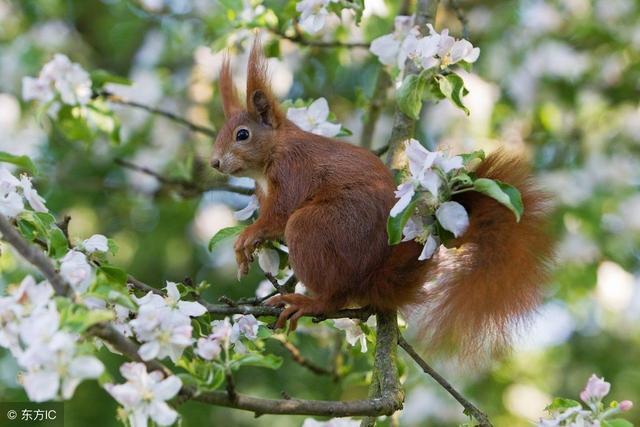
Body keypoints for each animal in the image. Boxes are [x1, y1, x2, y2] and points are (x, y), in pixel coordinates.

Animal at [212, 39, 552, 358]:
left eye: (242, 135)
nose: (214, 163)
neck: (272, 154)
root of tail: (372, 277)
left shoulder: (292, 170)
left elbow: (279, 215)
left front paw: (248, 237)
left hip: (320, 229)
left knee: (332, 289)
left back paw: (311, 302)